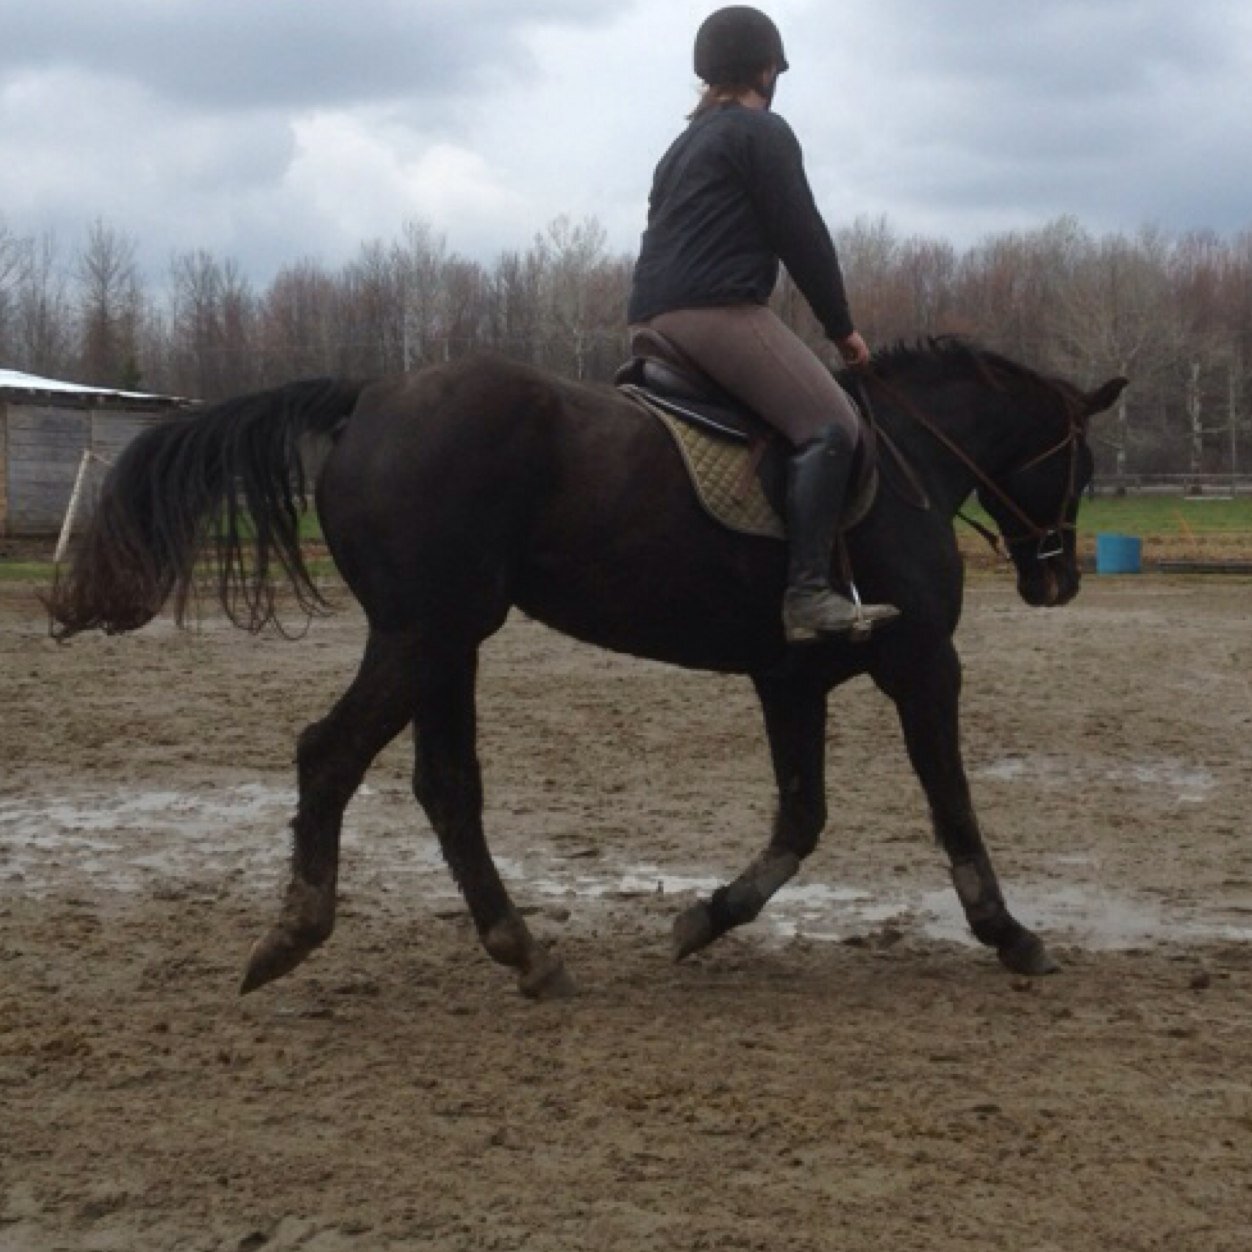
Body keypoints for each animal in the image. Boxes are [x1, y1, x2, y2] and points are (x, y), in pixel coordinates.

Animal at [46, 340, 1126, 996]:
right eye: (1080, 463)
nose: (1059, 579)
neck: (903, 458)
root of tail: (371, 395)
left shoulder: (791, 679)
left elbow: (801, 818)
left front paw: (706, 918)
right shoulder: (921, 664)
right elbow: (951, 802)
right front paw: (1010, 933)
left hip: (445, 641)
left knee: (444, 785)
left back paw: (522, 950)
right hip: (424, 632)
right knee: (332, 754)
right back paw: (296, 934)